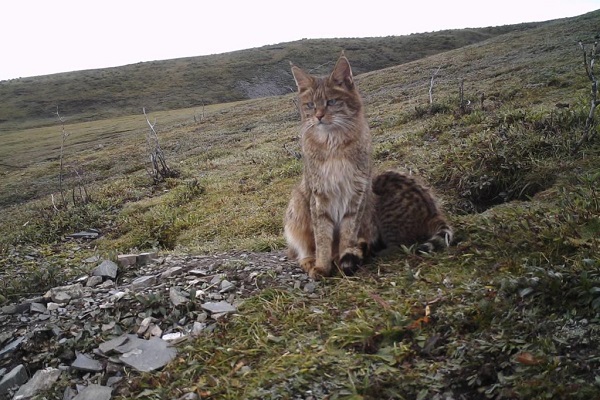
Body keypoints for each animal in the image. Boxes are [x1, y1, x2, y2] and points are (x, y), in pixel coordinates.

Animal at [284, 53, 452, 280]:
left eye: (331, 102)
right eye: (310, 105)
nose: (318, 116)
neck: (333, 144)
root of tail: (433, 212)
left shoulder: (357, 195)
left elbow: (347, 235)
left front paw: (343, 259)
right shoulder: (319, 197)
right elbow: (322, 238)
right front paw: (322, 265)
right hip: (298, 205)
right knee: (300, 249)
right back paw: (310, 260)